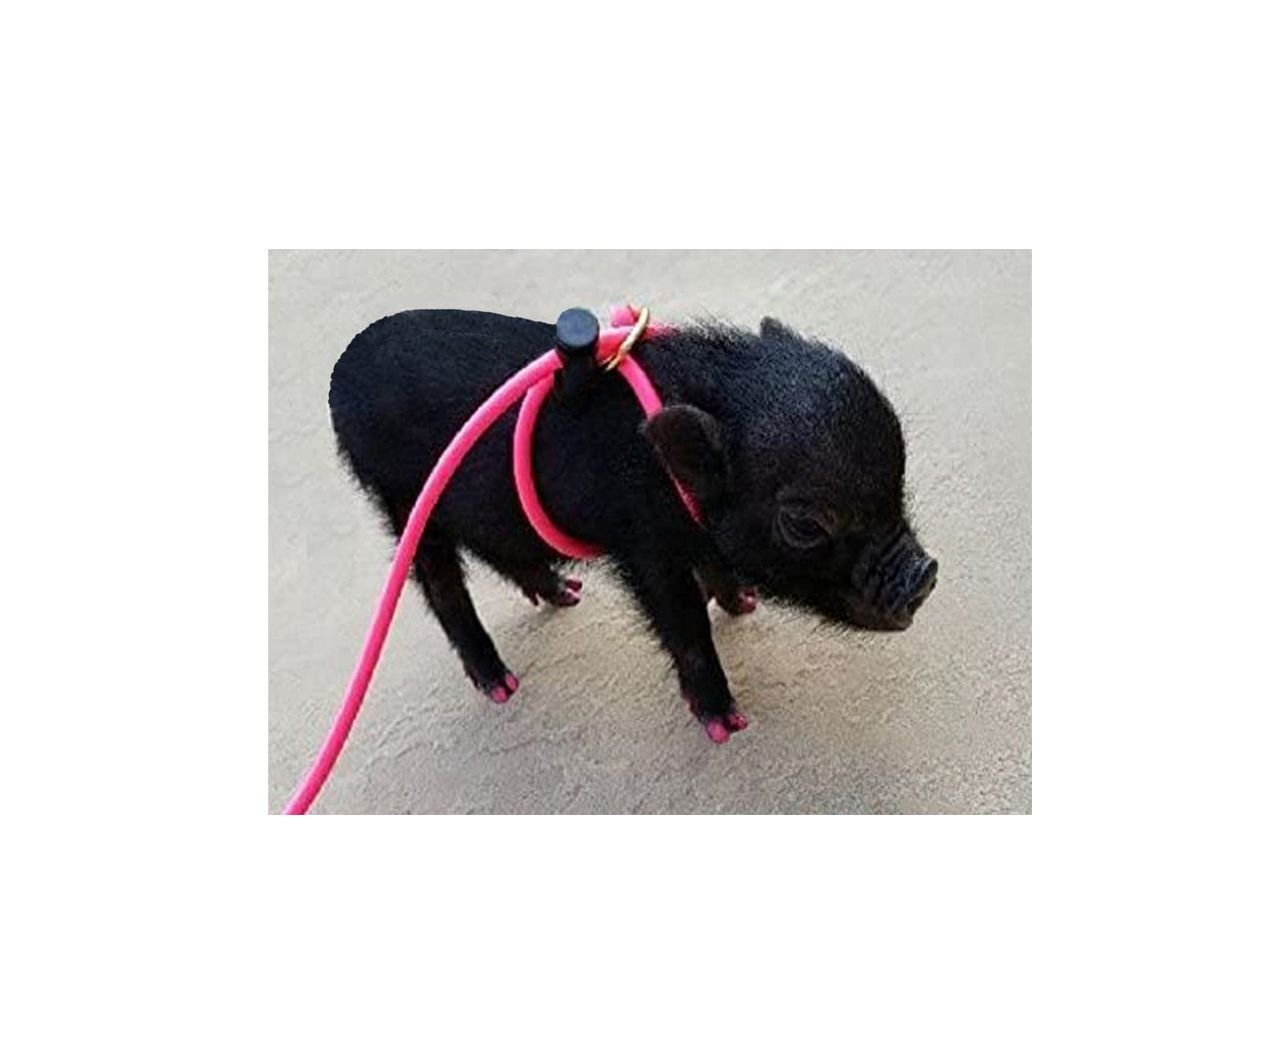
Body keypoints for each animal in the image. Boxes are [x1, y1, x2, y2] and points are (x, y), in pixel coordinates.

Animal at [328, 309, 937, 743]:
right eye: (805, 525)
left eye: (899, 475)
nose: (924, 572)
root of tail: (341, 370)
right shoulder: (644, 549)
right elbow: (685, 625)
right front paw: (729, 726)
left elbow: (714, 566)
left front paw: (742, 604)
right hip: (403, 502)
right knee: (440, 584)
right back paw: (502, 686)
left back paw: (565, 593)